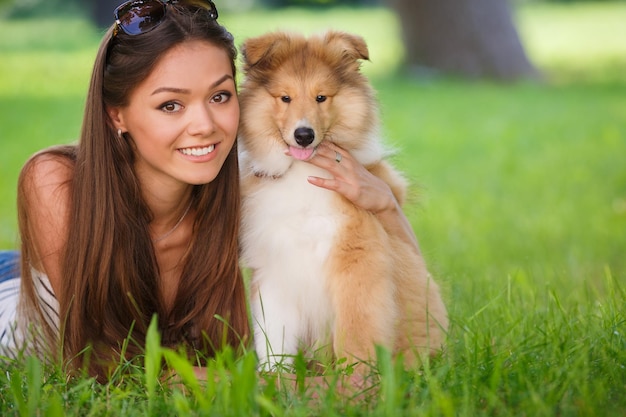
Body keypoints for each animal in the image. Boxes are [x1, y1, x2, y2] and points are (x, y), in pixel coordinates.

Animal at [236, 30, 446, 370]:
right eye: (285, 98)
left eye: (321, 97)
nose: (304, 135)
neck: (304, 175)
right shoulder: (275, 270)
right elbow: (273, 336)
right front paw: (273, 377)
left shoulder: (358, 262)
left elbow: (357, 330)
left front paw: (355, 379)